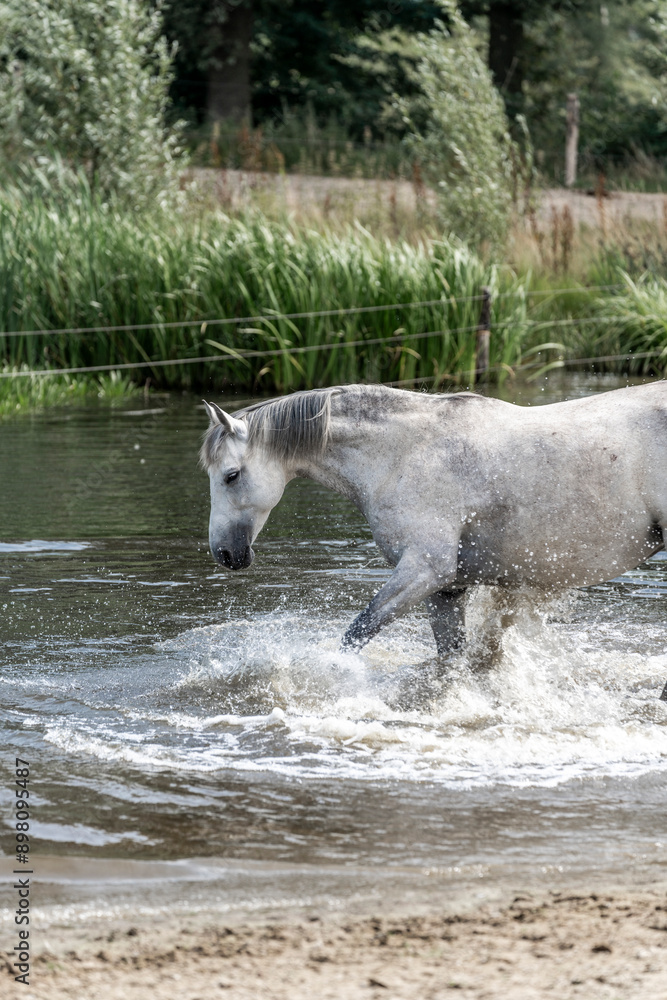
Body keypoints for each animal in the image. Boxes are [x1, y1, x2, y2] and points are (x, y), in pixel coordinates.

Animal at [200, 382, 667, 699]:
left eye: (231, 475)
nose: (225, 553)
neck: (402, 454)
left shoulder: (424, 569)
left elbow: (358, 631)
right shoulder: (447, 589)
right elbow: (452, 659)